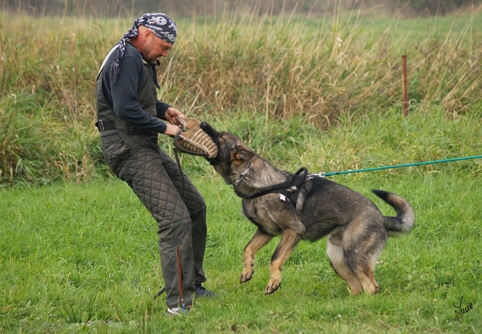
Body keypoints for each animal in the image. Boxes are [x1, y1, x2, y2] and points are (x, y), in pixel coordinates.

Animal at [200, 122, 414, 294]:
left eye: (221, 136)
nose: (202, 123)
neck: (262, 184)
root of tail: (381, 217)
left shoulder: (292, 231)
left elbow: (275, 258)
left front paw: (274, 282)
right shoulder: (266, 231)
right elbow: (248, 249)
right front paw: (248, 270)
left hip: (352, 254)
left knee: (371, 287)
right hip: (337, 259)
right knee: (358, 287)